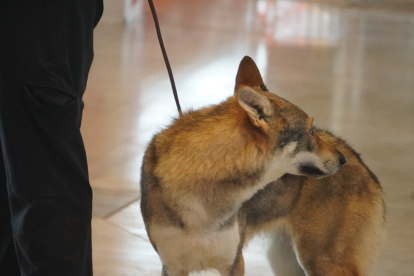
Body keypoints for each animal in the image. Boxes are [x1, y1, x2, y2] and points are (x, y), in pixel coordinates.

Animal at [140, 56, 384, 276]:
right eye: (312, 131)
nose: (342, 160)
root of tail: (359, 159)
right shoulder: (172, 267)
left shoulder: (235, 263)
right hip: (285, 262)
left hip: (319, 263)